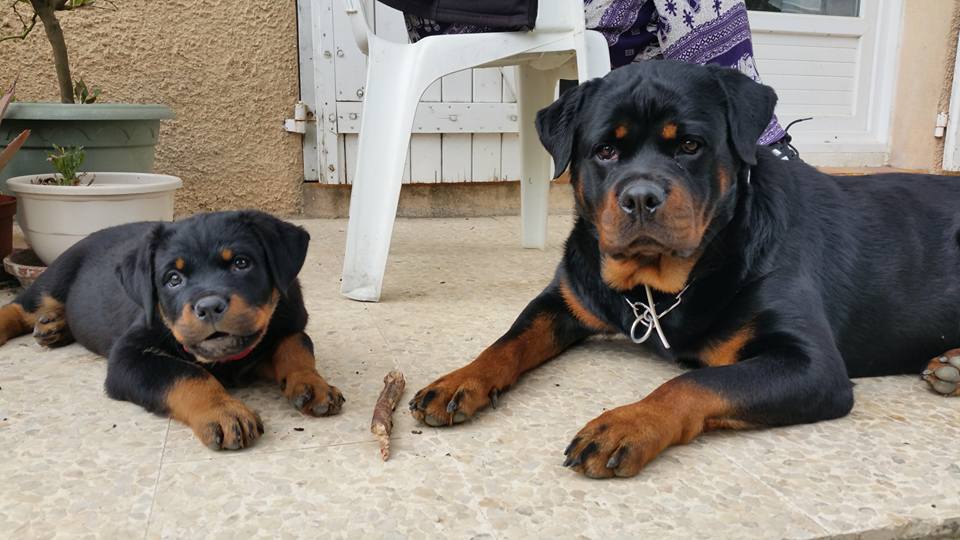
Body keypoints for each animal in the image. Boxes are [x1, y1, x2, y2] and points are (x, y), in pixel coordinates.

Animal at [0, 209, 344, 450]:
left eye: (241, 263)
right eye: (173, 279)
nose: (209, 306)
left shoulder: (288, 323)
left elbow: (297, 345)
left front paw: (313, 384)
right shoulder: (129, 356)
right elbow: (186, 373)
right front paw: (223, 411)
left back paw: (55, 326)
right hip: (54, 277)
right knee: (19, 308)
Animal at [406, 61, 960, 478]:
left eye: (690, 145)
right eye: (605, 150)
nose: (640, 197)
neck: (657, 287)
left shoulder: (812, 365)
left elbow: (697, 383)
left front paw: (626, 423)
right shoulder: (566, 297)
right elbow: (510, 340)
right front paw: (460, 380)